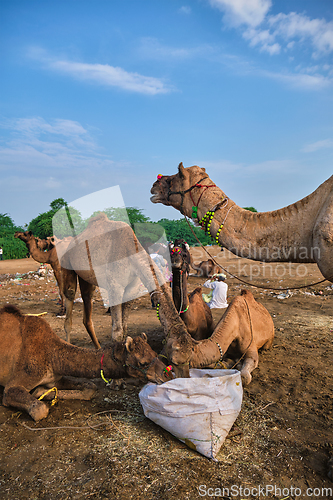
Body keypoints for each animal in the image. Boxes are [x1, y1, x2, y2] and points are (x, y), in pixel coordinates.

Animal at [0, 304, 170, 422]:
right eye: (143, 363)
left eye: (156, 354)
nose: (167, 374)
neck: (53, 354)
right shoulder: (15, 384)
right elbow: (39, 409)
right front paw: (37, 394)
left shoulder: (55, 378)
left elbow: (90, 387)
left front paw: (41, 391)